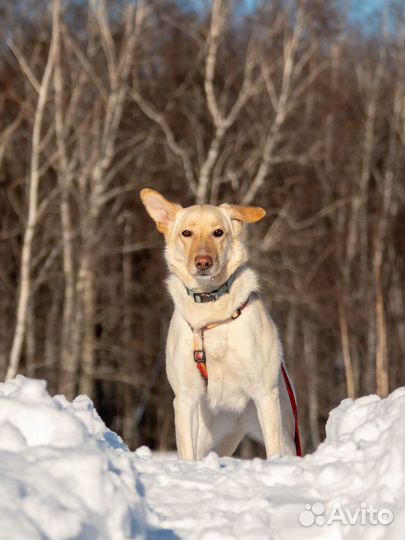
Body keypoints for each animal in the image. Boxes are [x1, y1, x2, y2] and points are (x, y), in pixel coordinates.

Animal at [140, 189, 300, 460]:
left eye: (218, 232)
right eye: (186, 233)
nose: (203, 262)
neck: (210, 305)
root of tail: (236, 423)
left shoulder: (265, 393)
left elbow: (273, 449)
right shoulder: (184, 399)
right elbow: (186, 451)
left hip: (282, 428)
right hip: (208, 437)